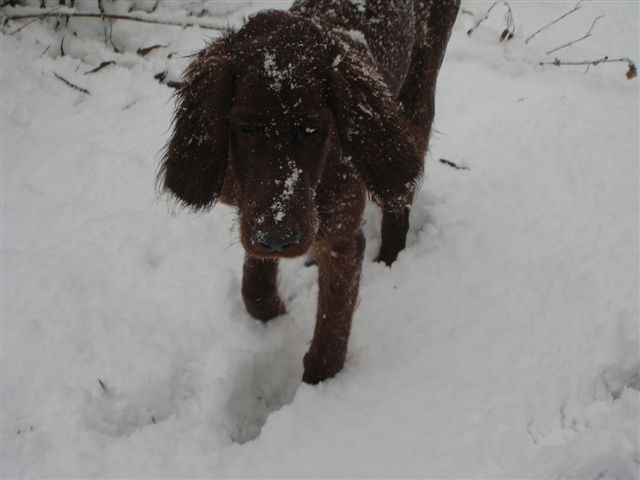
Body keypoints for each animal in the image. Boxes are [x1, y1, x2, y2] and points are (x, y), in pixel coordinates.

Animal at [160, 0, 460, 382]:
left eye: (312, 128)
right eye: (244, 128)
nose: (278, 240)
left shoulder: (342, 239)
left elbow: (331, 338)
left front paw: (319, 387)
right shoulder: (253, 213)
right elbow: (254, 289)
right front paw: (275, 312)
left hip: (418, 90)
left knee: (401, 185)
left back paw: (391, 255)